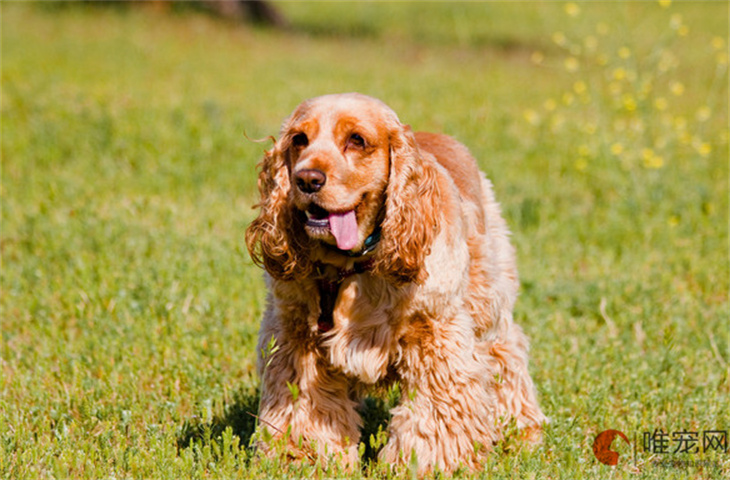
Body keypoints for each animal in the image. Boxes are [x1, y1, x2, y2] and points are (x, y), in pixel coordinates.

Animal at [247, 93, 544, 472]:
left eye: (357, 140)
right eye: (299, 139)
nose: (306, 179)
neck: (353, 265)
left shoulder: (436, 334)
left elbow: (433, 414)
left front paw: (427, 465)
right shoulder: (296, 336)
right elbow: (306, 408)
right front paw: (304, 460)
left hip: (489, 299)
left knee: (507, 354)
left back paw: (521, 432)